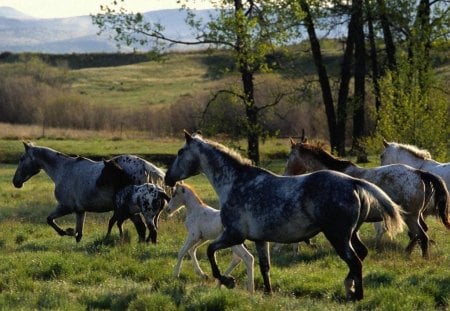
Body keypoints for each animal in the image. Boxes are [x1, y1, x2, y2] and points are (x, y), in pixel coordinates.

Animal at [13, 143, 166, 243]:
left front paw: (65, 232)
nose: (15, 182)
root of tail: (147, 168)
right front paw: (72, 235)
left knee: (143, 228)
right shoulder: (80, 211)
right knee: (146, 228)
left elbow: (50, 220)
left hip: (134, 211)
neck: (63, 170)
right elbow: (79, 234)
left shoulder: (65, 207)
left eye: (21, 159)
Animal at [164, 132, 404, 302]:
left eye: (180, 151)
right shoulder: (260, 240)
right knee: (360, 255)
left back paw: (357, 295)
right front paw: (267, 293)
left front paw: (227, 280)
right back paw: (349, 287)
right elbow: (265, 267)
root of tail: (353, 182)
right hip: (350, 235)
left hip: (338, 237)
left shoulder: (234, 235)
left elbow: (210, 251)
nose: (167, 178)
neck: (235, 183)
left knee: (355, 262)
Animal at [284, 139, 450, 258]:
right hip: (417, 215)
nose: (286, 174)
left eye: (289, 157)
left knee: (422, 236)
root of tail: (419, 173)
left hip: (411, 217)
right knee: (420, 235)